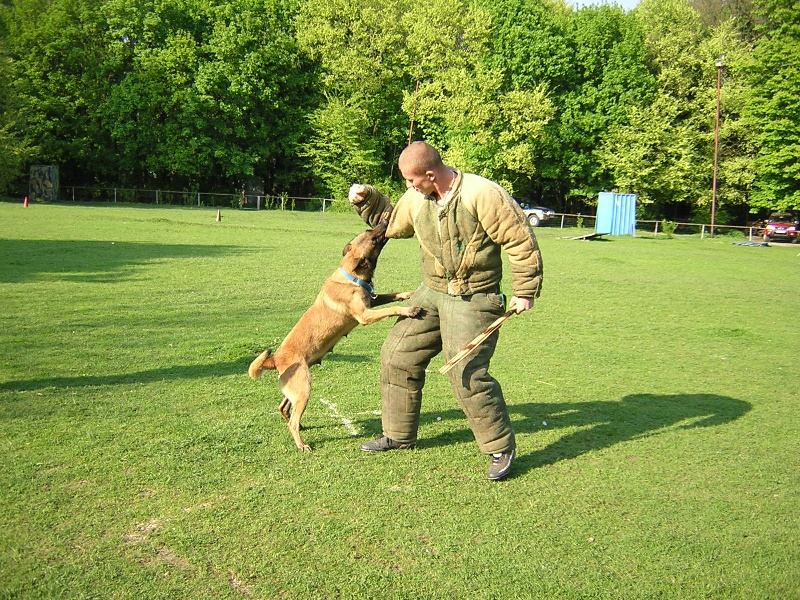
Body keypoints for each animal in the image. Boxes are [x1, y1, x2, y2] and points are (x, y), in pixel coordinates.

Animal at [247, 223, 422, 452]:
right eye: (370, 234)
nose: (383, 222)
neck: (352, 276)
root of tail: (275, 358)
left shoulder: (372, 301)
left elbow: (392, 295)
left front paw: (408, 294)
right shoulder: (364, 315)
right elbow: (391, 308)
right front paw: (410, 310)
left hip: (294, 386)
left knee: (284, 408)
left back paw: (299, 425)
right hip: (304, 386)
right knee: (291, 420)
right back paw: (302, 444)